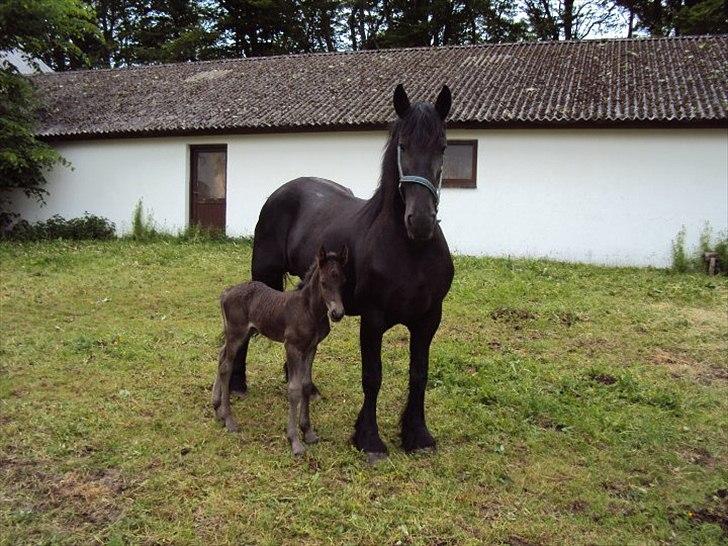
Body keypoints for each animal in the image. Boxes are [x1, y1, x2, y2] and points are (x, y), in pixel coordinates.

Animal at [210, 244, 346, 452]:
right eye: (323, 283)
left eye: (343, 281)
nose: (337, 313)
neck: (309, 310)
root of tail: (227, 292)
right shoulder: (292, 347)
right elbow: (294, 389)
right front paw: (295, 441)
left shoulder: (311, 347)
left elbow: (306, 385)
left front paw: (308, 432)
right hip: (236, 333)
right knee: (226, 366)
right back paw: (229, 419)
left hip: (242, 333)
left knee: (221, 356)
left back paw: (217, 408)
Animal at [233, 84, 452, 460]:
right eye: (403, 146)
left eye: (442, 146)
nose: (421, 221)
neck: (410, 250)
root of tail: (281, 191)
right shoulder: (374, 319)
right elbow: (373, 376)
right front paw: (369, 440)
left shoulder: (428, 319)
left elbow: (419, 374)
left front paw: (417, 435)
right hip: (263, 276)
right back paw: (237, 384)